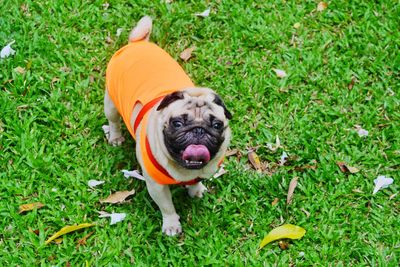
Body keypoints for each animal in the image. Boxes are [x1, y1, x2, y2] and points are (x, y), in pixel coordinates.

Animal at [104, 15, 231, 237]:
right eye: (178, 123)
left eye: (216, 125)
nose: (198, 130)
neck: (185, 171)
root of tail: (137, 43)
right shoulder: (156, 187)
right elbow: (167, 206)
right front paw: (171, 225)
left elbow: (196, 183)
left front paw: (196, 191)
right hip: (111, 102)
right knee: (113, 120)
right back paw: (115, 137)